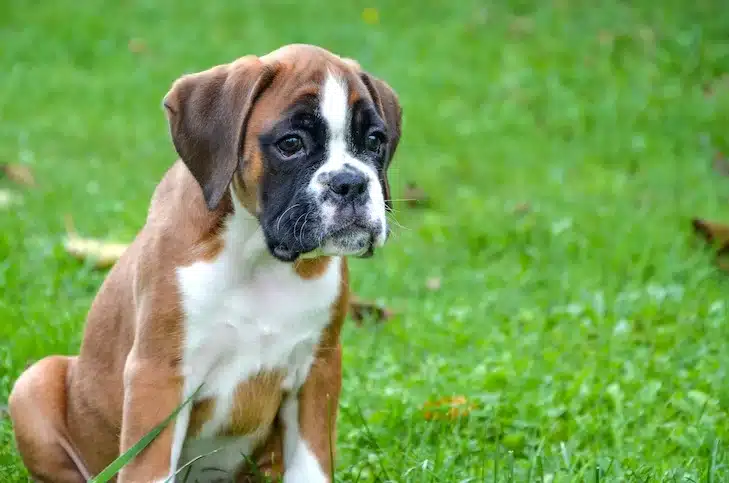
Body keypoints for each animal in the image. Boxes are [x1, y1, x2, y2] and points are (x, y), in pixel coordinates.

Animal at [8, 43, 400, 482]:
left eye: (375, 140)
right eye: (291, 143)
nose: (351, 183)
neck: (257, 257)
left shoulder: (318, 371)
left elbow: (311, 467)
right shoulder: (160, 375)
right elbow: (148, 468)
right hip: (33, 384)